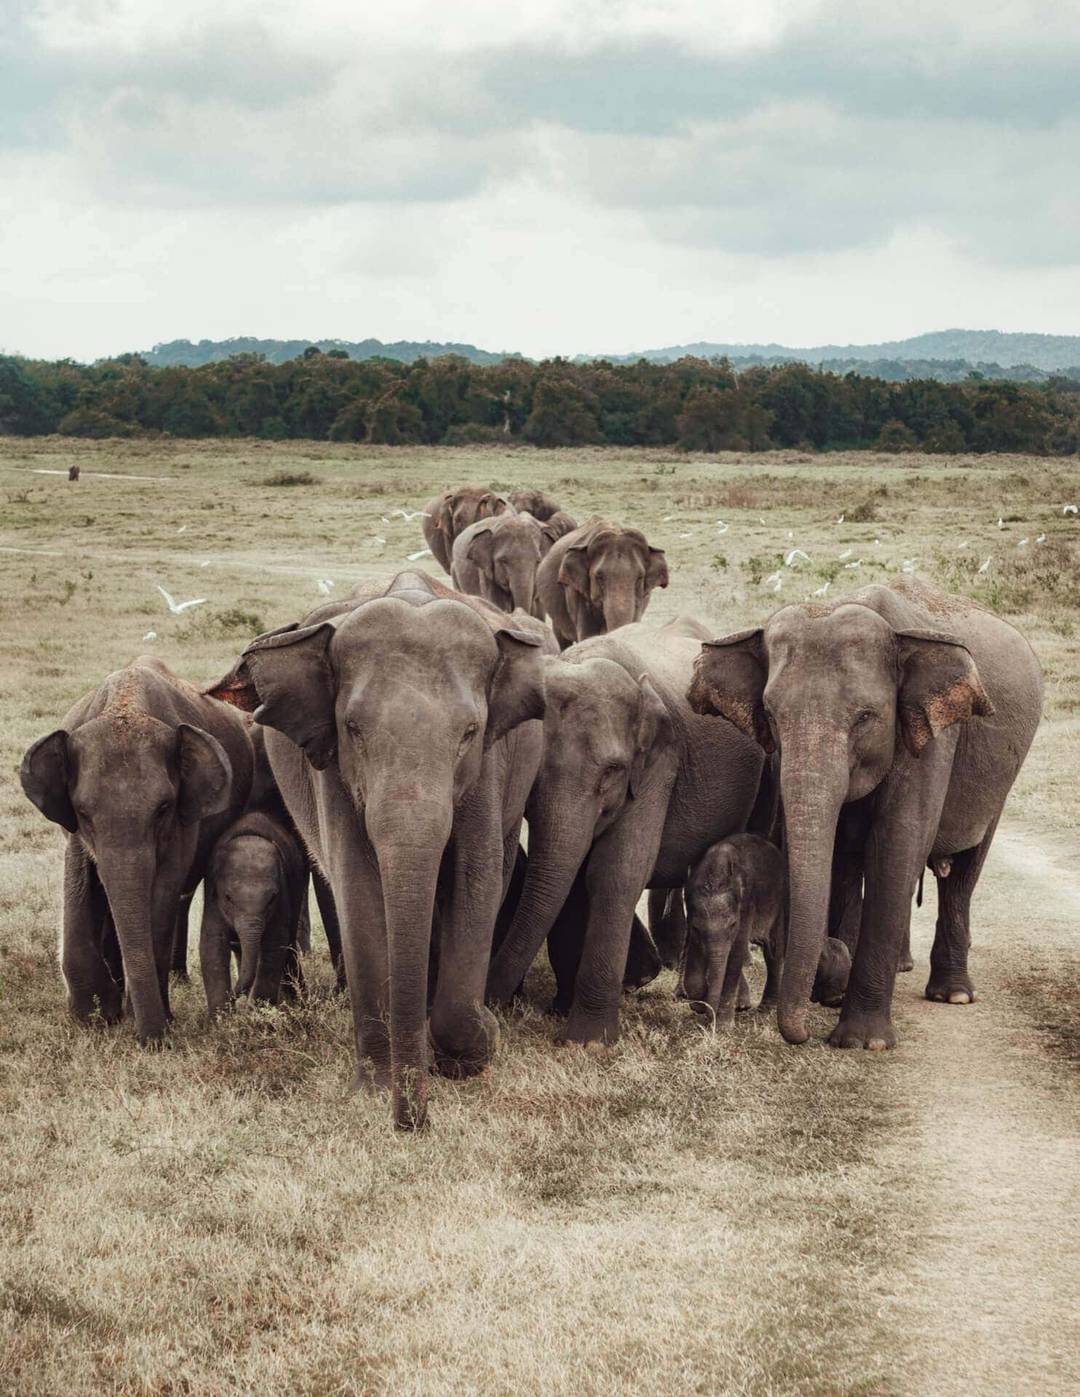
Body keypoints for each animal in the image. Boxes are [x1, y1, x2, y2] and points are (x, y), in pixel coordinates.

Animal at [20, 657, 253, 1044]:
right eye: (82, 813)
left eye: (163, 809)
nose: (151, 1039)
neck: (125, 704)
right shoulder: (74, 831)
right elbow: (80, 881)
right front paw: (93, 1017)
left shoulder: (184, 816)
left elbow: (162, 890)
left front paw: (147, 1022)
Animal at [199, 810, 308, 1017]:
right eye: (228, 898)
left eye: (272, 898)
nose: (234, 997)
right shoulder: (212, 897)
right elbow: (213, 943)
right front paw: (221, 1018)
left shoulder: (283, 893)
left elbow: (275, 943)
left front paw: (257, 1013)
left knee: (288, 945)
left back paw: (299, 1002)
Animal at [485, 616, 765, 1045]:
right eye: (532, 781)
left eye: (612, 772)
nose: (493, 1009)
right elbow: (574, 875)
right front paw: (563, 1011)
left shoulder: (658, 766)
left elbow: (616, 872)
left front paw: (588, 1042)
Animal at [681, 833, 851, 1024]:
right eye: (696, 928)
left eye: (733, 925)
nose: (709, 1015)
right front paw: (700, 1005)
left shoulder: (747, 905)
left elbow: (736, 952)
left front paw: (723, 1024)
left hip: (779, 903)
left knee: (773, 953)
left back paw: (764, 1010)